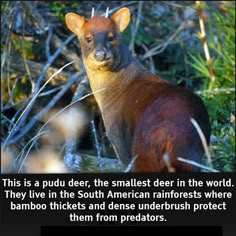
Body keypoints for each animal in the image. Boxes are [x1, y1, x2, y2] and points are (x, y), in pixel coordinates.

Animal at [65, 6, 212, 171]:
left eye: (111, 37)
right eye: (88, 38)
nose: (100, 53)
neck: (113, 93)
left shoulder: (117, 136)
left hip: (141, 151)